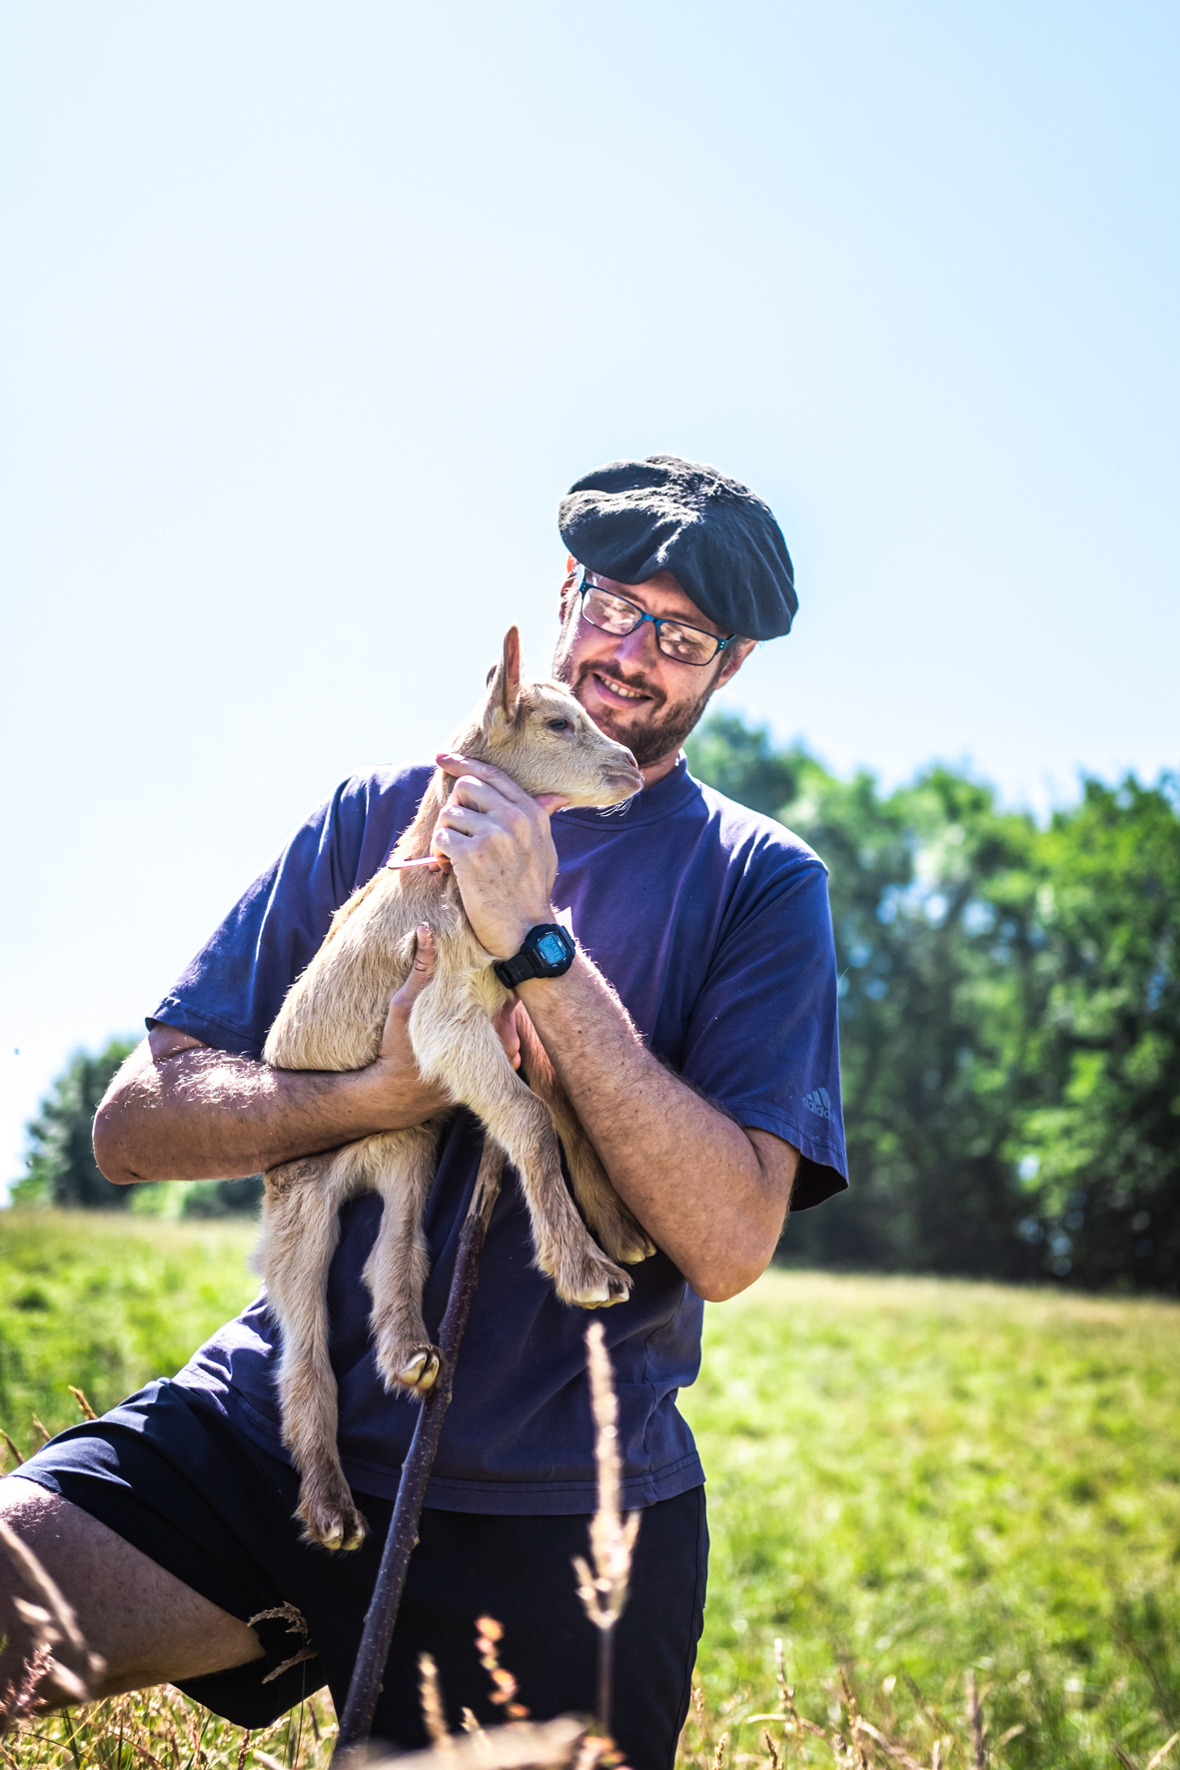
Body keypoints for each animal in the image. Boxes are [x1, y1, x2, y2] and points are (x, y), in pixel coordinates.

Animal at [258, 630, 654, 1557]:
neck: (450, 880)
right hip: (297, 1204)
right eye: (557, 722)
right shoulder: (446, 1021)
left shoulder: (514, 1009)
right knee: (303, 1355)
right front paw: (585, 1268)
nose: (628, 766)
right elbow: (531, 1119)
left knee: (392, 1255)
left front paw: (620, 1231)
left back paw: (413, 1355)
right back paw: (332, 1510)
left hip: (407, 1154)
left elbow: (570, 1108)